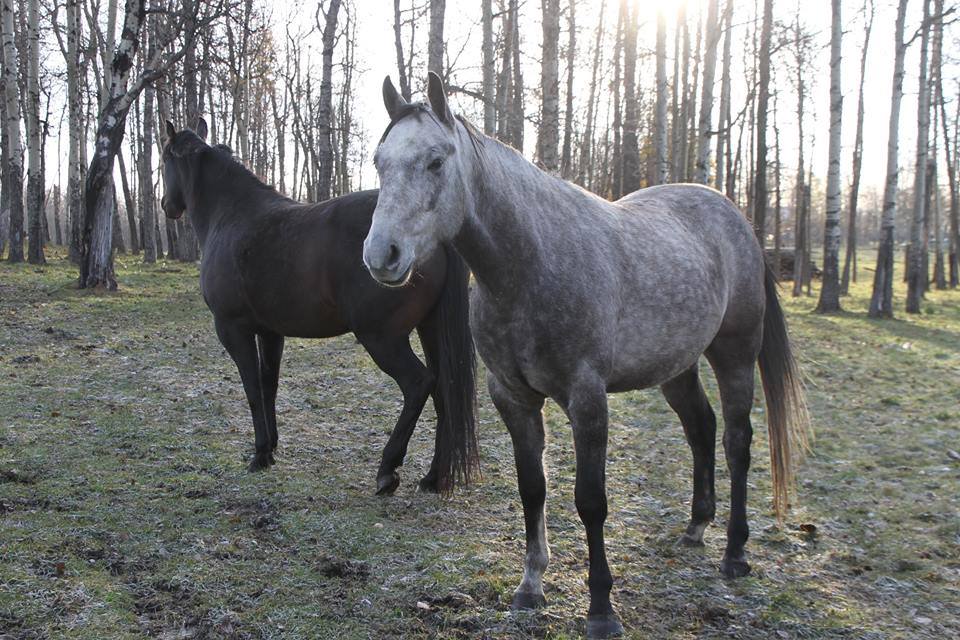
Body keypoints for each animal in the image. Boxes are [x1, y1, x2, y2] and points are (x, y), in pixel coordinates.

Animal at [159, 119, 478, 495]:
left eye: (164, 159)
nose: (167, 205)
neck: (231, 215)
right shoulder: (270, 332)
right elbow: (268, 385)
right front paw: (271, 449)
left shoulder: (232, 328)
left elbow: (251, 388)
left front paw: (259, 454)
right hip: (429, 328)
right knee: (444, 390)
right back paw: (432, 477)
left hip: (381, 338)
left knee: (418, 384)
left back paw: (387, 470)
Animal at [363, 74, 810, 638]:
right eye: (380, 160)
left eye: (436, 162)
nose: (381, 256)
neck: (530, 267)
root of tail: (738, 218)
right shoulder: (513, 397)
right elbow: (533, 488)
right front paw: (531, 586)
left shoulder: (587, 399)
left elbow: (590, 501)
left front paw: (601, 608)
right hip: (677, 367)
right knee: (700, 428)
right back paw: (695, 527)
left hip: (735, 354)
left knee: (736, 442)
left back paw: (735, 554)